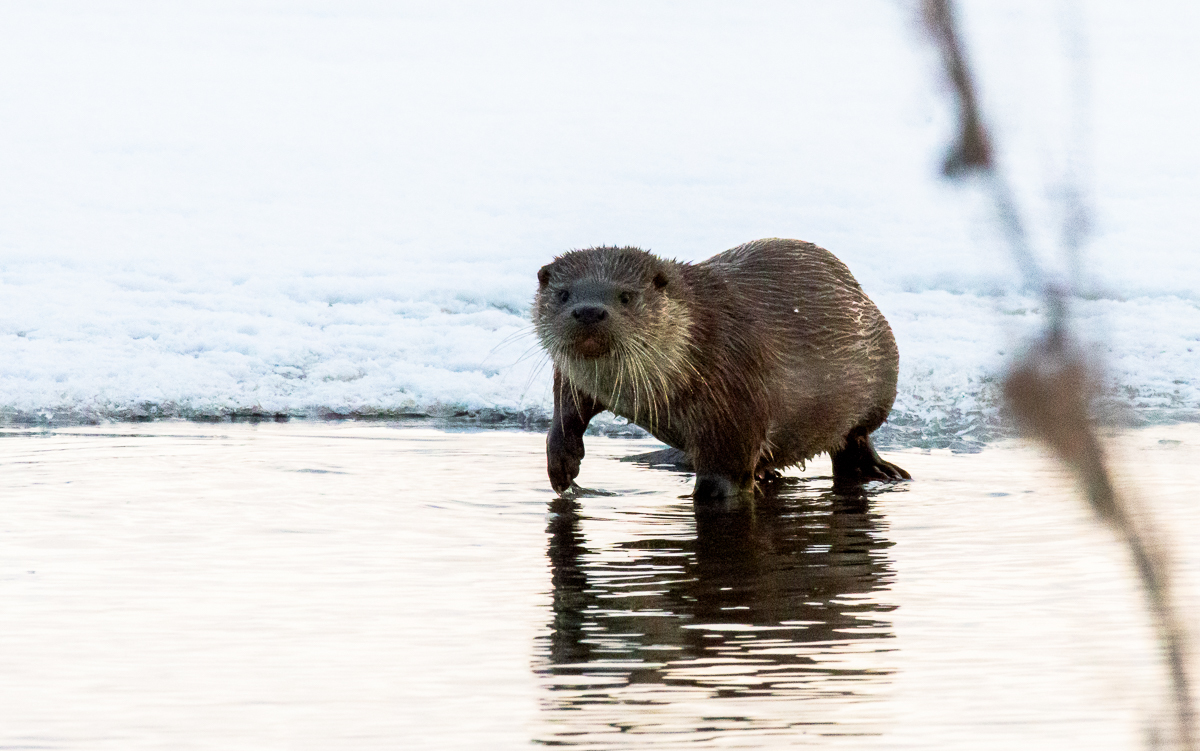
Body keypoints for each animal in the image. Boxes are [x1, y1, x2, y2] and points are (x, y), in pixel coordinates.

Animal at [535, 236, 907, 499]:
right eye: (563, 294)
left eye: (626, 296)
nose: (589, 311)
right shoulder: (578, 379)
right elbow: (566, 406)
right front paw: (562, 463)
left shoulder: (734, 391)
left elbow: (722, 480)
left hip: (880, 377)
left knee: (855, 437)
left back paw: (881, 471)